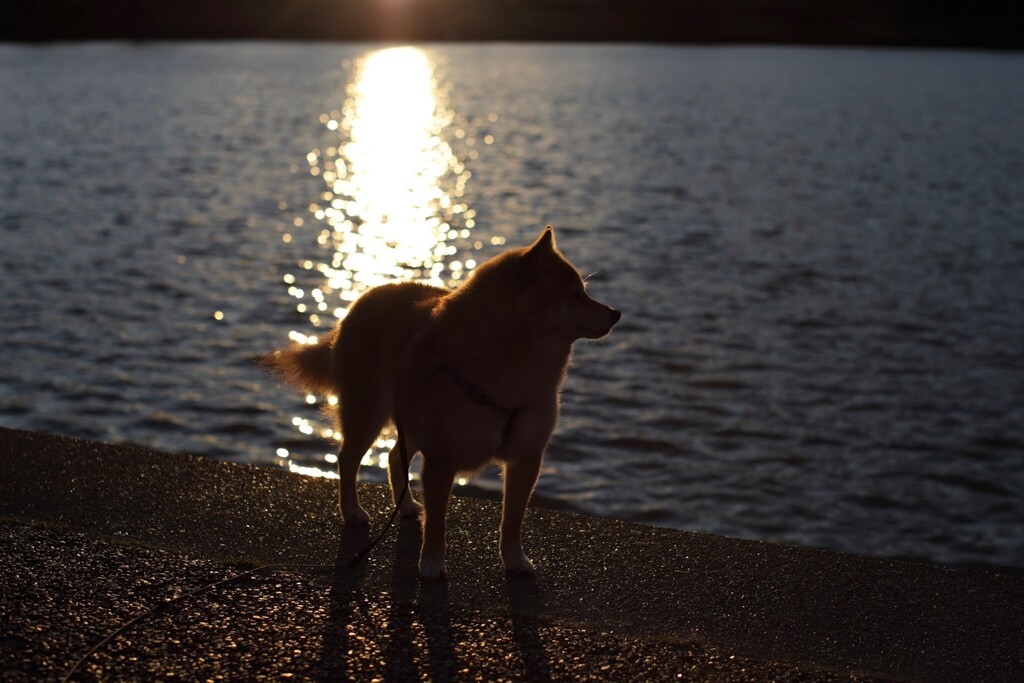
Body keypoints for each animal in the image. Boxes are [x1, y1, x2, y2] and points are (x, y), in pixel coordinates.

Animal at [266, 225, 614, 577]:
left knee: (393, 459)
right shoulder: (442, 459)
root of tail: (362, 300)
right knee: (347, 460)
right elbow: (437, 523)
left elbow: (513, 519)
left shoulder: (526, 457)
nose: (617, 313)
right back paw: (352, 511)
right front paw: (432, 563)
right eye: (575, 295)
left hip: (408, 420)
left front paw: (515, 560)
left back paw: (406, 507)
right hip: (367, 415)